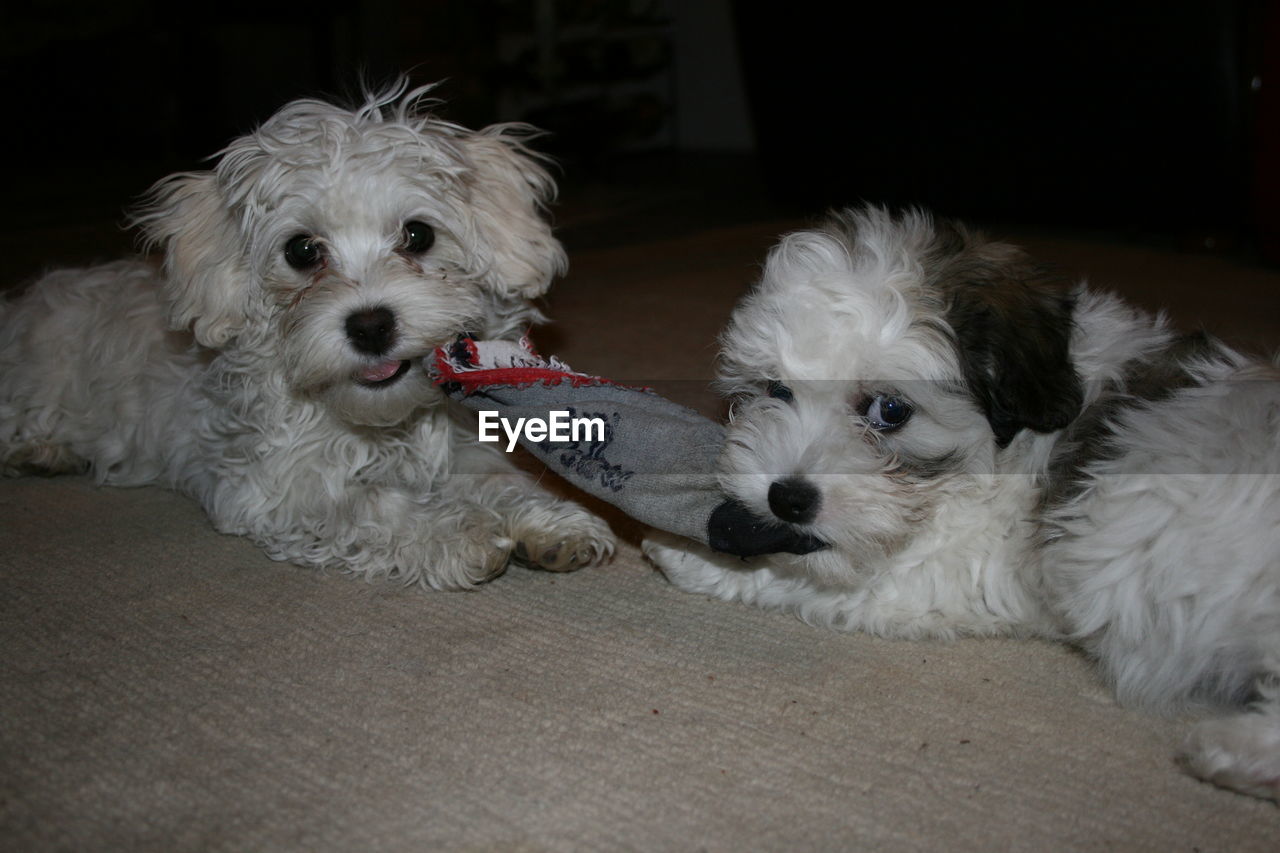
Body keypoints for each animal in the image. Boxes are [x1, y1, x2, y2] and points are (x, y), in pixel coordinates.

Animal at [0, 84, 614, 591]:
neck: (382, 424)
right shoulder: (276, 487)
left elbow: (497, 479)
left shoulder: (462, 444)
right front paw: (459, 532)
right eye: (301, 250)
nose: (370, 326)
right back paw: (39, 451)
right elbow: (371, 505)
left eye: (418, 235)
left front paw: (550, 523)